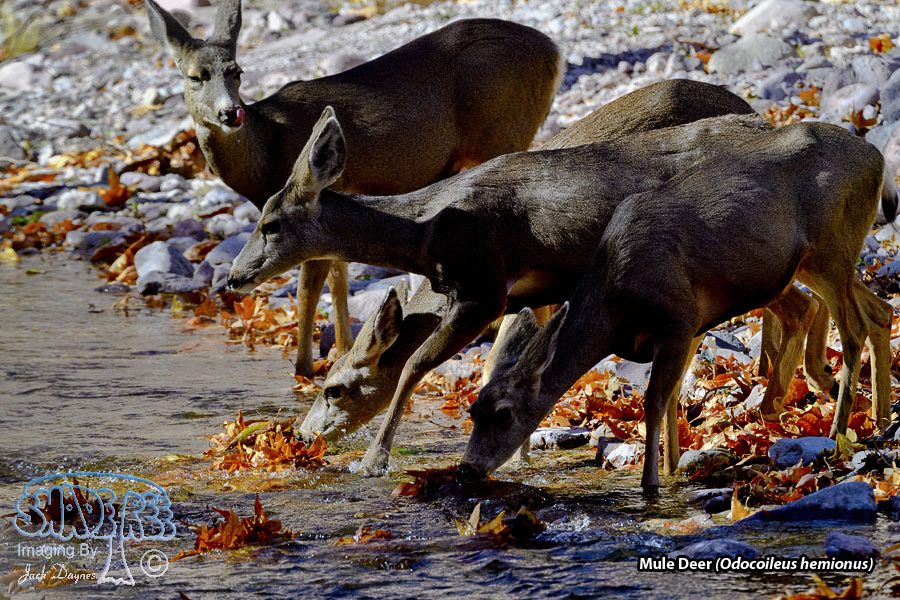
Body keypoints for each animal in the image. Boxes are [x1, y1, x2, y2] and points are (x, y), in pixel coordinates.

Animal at [145, 0, 564, 376]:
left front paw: (303, 370)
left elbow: (309, 287)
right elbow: (339, 277)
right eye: (195, 76)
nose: (231, 113)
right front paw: (344, 351)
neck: (266, 148)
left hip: (504, 132)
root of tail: (556, 52)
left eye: (237, 72)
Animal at [228, 104, 798, 475]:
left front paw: (372, 463)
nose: (234, 276)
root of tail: (761, 121)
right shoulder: (529, 294)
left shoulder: (482, 290)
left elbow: (414, 366)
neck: (425, 231)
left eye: (270, 223)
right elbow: (502, 363)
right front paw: (519, 455)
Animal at [459, 121, 893, 496]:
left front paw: (651, 485)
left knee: (852, 329)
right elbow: (672, 397)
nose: (467, 469)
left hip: (830, 247)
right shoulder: (692, 323)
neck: (615, 302)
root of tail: (876, 159)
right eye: (473, 410)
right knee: (878, 310)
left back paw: (838, 433)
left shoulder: (677, 318)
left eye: (503, 413)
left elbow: (654, 401)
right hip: (815, 262)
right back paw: (878, 418)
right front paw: (671, 469)